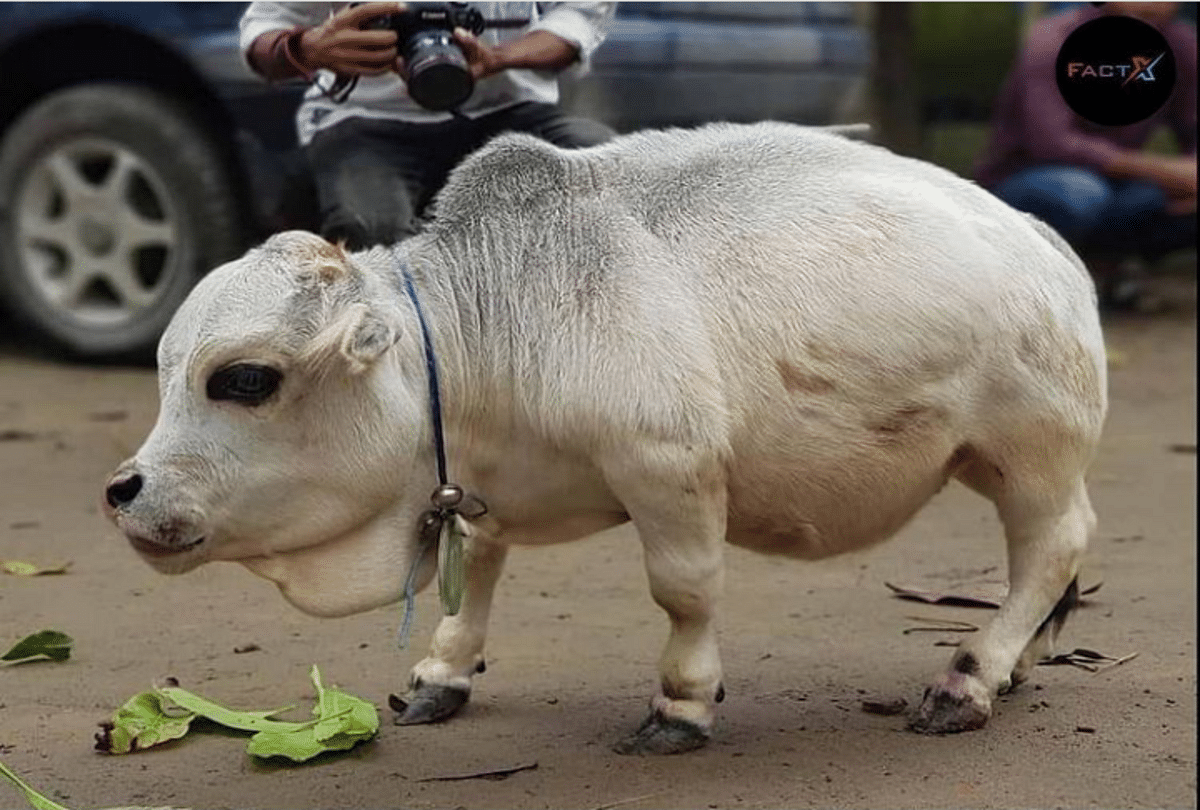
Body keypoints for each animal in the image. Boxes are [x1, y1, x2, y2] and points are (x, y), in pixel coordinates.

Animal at [104, 121, 1107, 755]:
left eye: (244, 379)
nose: (125, 492)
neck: (482, 333)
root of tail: (1043, 240)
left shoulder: (668, 469)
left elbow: (685, 593)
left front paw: (683, 703)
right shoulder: (481, 490)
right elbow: (479, 576)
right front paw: (444, 673)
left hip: (1032, 451)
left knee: (1052, 546)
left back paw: (971, 675)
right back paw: (1015, 662)